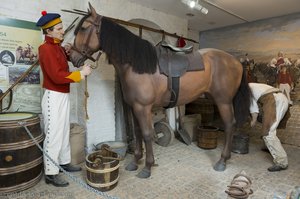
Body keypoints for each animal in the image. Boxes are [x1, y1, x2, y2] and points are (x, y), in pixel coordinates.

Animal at [68, 3, 251, 179]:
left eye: (83, 28)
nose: (71, 56)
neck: (136, 65)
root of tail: (236, 61)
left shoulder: (143, 107)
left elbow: (147, 134)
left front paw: (147, 167)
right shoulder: (134, 107)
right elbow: (138, 133)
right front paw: (135, 162)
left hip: (223, 101)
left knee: (229, 125)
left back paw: (222, 161)